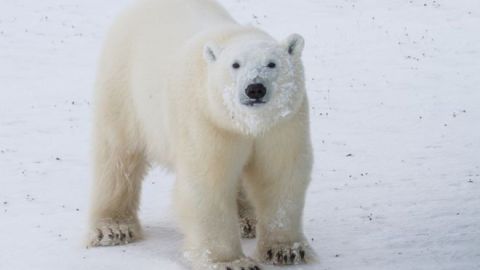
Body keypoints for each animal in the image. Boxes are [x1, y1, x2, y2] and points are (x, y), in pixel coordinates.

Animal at [88, 0, 316, 268]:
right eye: (235, 64)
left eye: (272, 63)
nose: (255, 88)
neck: (246, 123)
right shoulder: (206, 119)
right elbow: (208, 182)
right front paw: (231, 261)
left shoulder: (282, 123)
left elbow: (280, 175)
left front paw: (287, 250)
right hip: (123, 87)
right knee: (117, 157)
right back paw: (113, 228)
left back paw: (247, 220)